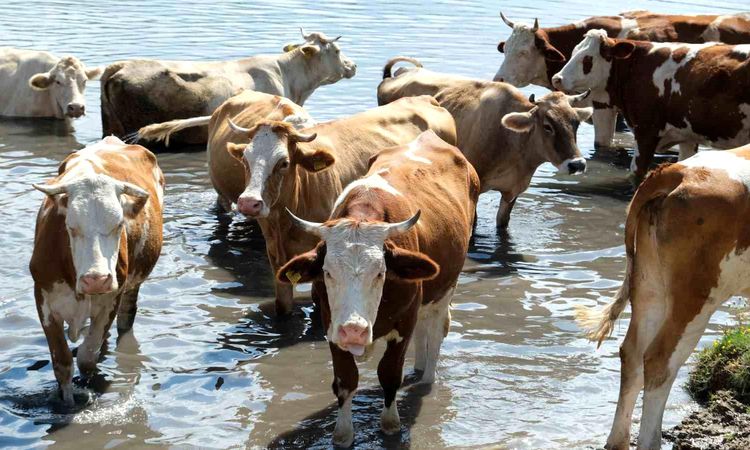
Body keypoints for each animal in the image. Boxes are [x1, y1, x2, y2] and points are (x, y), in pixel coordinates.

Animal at [30, 136, 164, 406]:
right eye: (71, 227)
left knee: (124, 321)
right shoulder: (44, 300)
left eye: (119, 224)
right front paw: (67, 402)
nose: (96, 279)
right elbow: (62, 362)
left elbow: (87, 357)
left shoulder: (110, 300)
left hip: (131, 289)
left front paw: (88, 390)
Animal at [277, 130, 479, 447]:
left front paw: (391, 423)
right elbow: (346, 379)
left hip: (445, 289)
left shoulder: (404, 323)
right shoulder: (331, 323)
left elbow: (390, 374)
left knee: (435, 330)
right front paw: (343, 433)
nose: (354, 331)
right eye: (327, 273)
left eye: (381, 273)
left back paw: (426, 378)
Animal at [551, 29, 750, 181]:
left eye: (587, 58)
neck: (635, 68)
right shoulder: (687, 137)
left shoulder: (646, 131)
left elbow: (636, 173)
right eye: (573, 51)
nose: (557, 78)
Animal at [576, 147, 750, 449]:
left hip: (649, 288)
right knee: (659, 360)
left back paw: (618, 440)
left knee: (632, 354)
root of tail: (676, 171)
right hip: (694, 297)